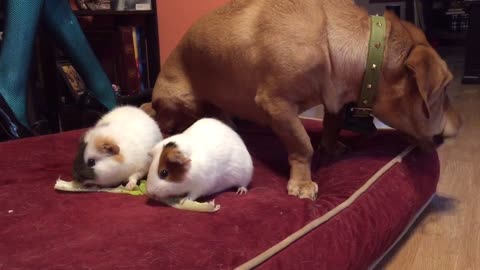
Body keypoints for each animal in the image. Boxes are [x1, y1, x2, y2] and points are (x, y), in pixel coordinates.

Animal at [145, 0, 462, 198]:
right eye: (445, 90)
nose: (461, 124)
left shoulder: (335, 99)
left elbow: (331, 125)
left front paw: (330, 147)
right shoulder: (277, 105)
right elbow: (302, 145)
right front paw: (302, 182)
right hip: (182, 100)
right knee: (169, 123)